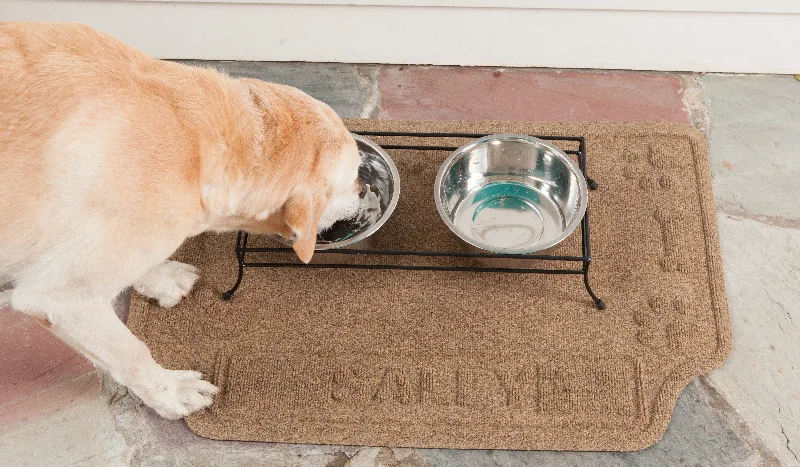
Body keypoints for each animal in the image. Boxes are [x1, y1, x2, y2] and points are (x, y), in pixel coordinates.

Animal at [1, 22, 364, 420]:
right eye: (352, 177)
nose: (365, 189)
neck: (199, 143)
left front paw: (159, 278)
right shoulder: (60, 300)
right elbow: (130, 354)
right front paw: (171, 393)